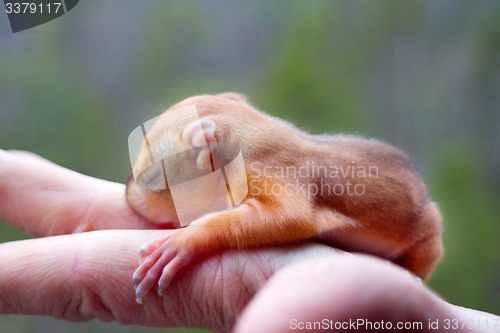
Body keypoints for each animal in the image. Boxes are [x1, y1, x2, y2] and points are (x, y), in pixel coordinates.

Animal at [127, 92, 444, 302]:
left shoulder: (270, 172)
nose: (130, 197)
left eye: (152, 179)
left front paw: (183, 242)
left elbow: (292, 217)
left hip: (428, 236)